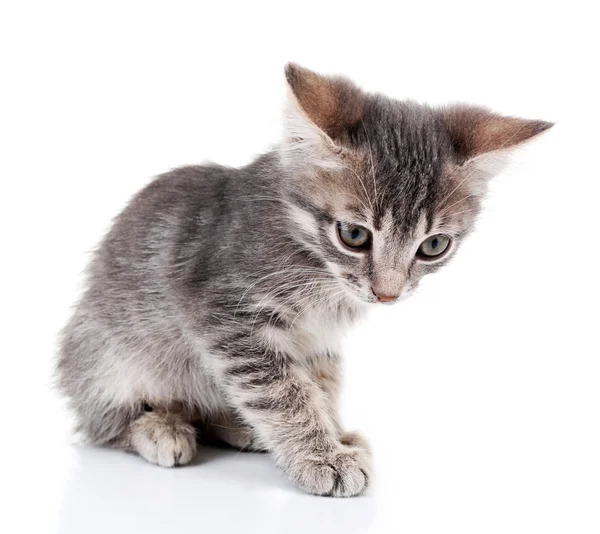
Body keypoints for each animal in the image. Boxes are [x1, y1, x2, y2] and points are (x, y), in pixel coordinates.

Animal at [57, 65, 552, 500]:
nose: (388, 293)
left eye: (434, 245)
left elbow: (319, 385)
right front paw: (323, 457)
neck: (315, 264)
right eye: (354, 235)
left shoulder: (318, 341)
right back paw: (159, 427)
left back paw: (236, 426)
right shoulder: (227, 318)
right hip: (107, 357)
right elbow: (282, 391)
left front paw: (335, 436)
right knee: (103, 424)